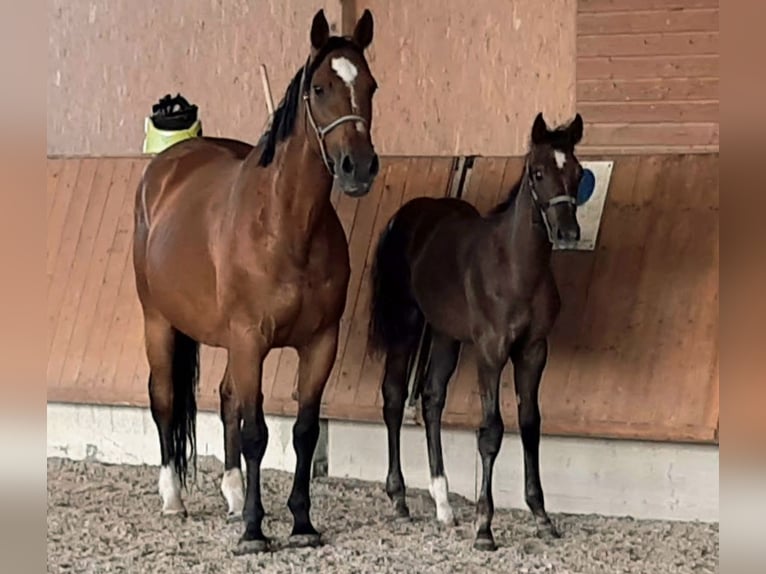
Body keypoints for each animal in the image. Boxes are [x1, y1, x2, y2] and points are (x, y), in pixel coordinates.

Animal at [132, 9, 379, 554]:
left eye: (371, 86)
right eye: (321, 87)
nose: (358, 168)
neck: (286, 226)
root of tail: (167, 167)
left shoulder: (319, 343)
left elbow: (303, 431)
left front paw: (301, 523)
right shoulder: (251, 339)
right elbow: (256, 434)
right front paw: (253, 529)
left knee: (226, 399)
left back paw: (230, 492)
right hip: (158, 322)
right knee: (165, 399)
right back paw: (174, 498)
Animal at [368, 112, 584, 551]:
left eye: (578, 172)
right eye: (538, 173)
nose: (568, 234)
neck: (517, 269)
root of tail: (404, 217)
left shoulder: (533, 351)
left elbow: (530, 424)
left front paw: (541, 517)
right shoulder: (491, 351)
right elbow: (491, 431)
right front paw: (485, 528)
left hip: (446, 334)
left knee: (432, 398)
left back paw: (442, 503)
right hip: (406, 325)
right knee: (395, 397)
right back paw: (399, 498)